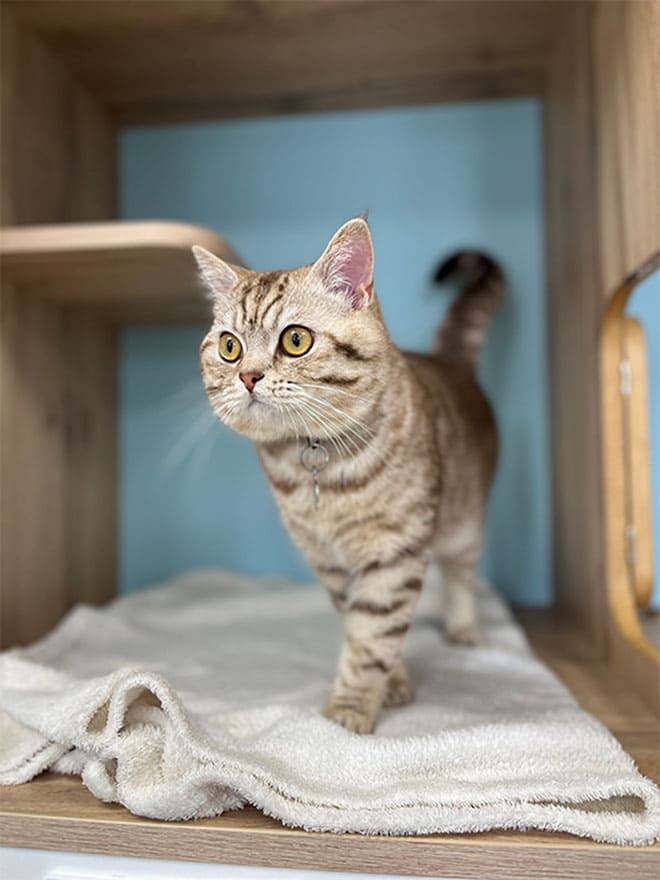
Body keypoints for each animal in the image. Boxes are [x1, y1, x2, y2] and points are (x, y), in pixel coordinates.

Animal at [193, 218, 502, 736]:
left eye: (295, 340)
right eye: (229, 346)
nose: (248, 377)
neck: (316, 464)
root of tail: (452, 363)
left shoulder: (393, 554)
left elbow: (373, 635)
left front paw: (350, 709)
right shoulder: (330, 563)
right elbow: (362, 627)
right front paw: (392, 684)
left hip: (465, 522)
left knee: (460, 573)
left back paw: (463, 626)